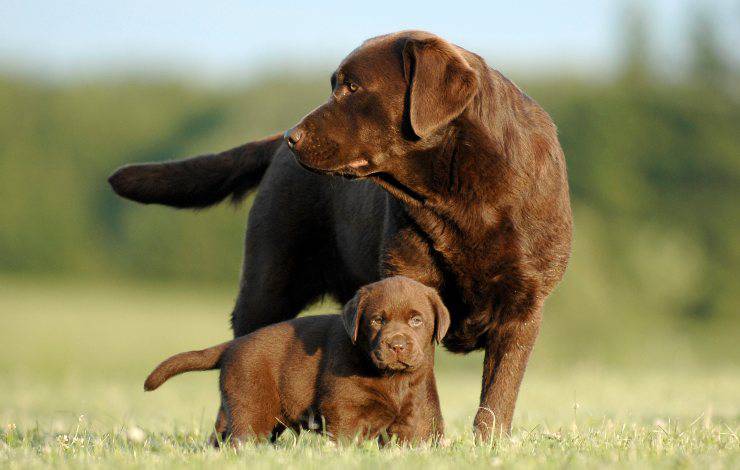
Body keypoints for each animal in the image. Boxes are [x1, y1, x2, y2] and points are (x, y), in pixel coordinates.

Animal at [142, 278, 448, 446]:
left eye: (416, 320)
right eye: (376, 321)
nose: (397, 345)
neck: (390, 378)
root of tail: (233, 345)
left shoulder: (413, 416)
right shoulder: (345, 411)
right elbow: (346, 439)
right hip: (252, 404)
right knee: (242, 437)